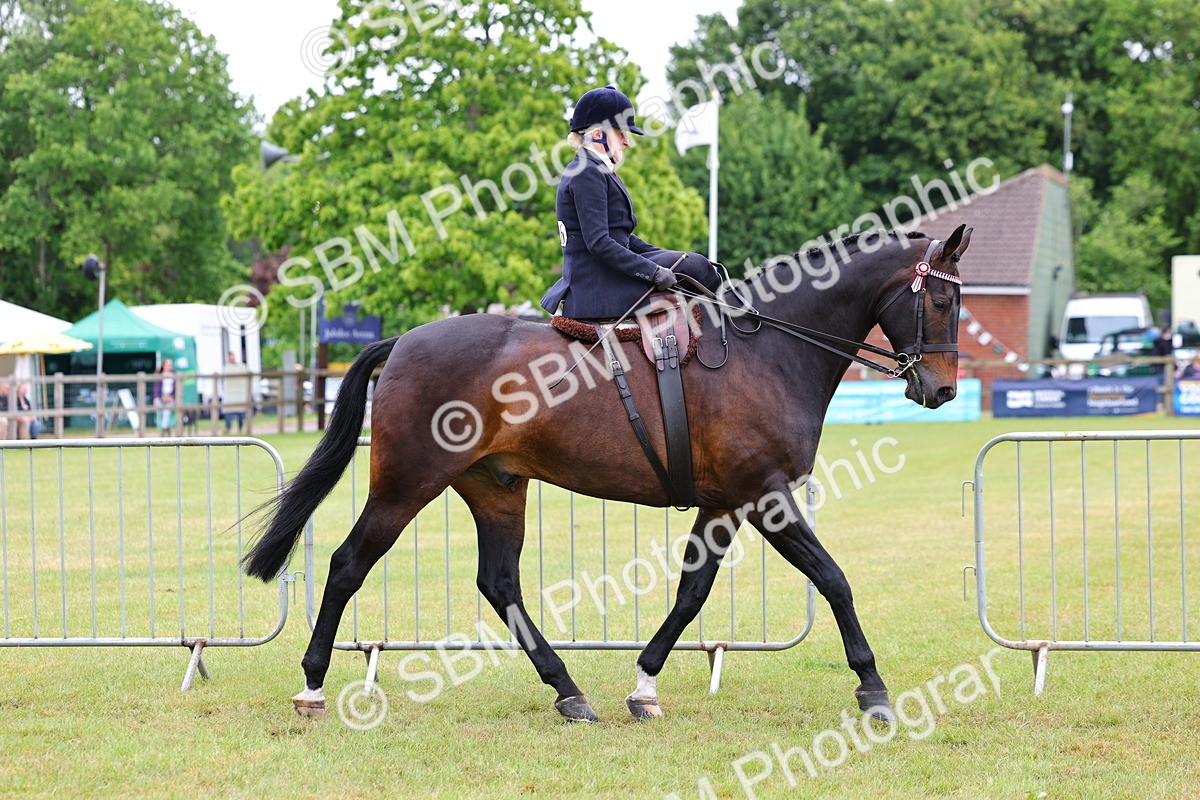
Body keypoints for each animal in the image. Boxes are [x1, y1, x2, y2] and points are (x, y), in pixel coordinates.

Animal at [244, 224, 972, 723]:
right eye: (940, 302)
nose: (941, 391)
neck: (769, 349)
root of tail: (404, 343)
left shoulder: (725, 506)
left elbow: (691, 593)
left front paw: (645, 684)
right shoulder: (766, 497)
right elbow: (833, 579)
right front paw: (873, 687)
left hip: (495, 487)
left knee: (499, 583)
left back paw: (568, 691)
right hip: (406, 486)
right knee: (348, 565)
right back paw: (312, 684)